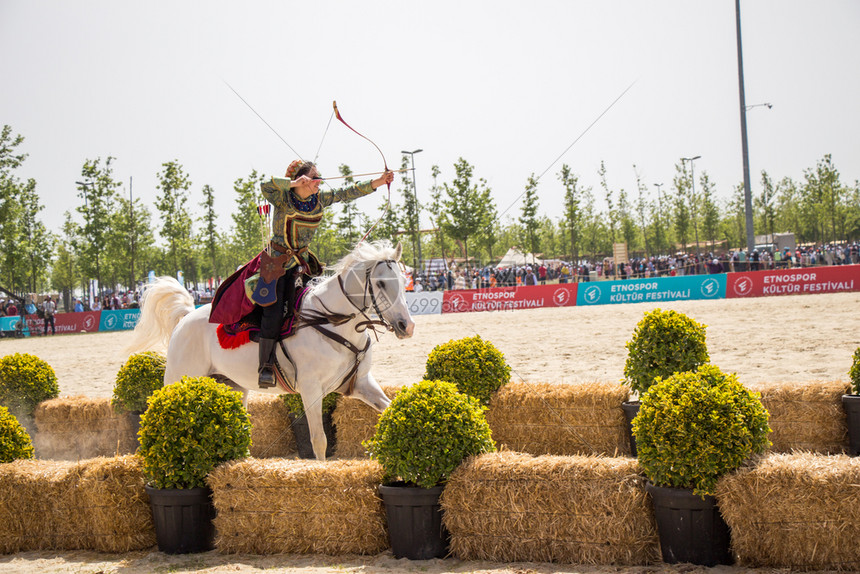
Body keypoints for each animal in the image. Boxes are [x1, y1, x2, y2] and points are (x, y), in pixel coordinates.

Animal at [127, 241, 416, 462]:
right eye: (380, 283)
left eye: (404, 281)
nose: (407, 326)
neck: (331, 322)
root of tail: (186, 317)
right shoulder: (311, 390)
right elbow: (318, 440)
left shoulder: (360, 384)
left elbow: (389, 409)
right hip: (177, 381)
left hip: (233, 387)